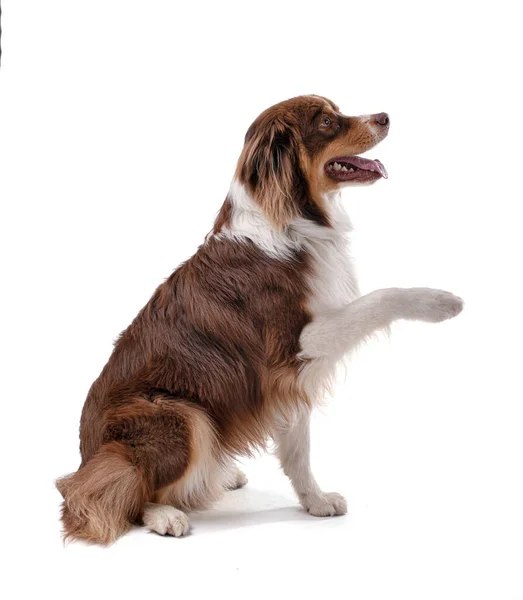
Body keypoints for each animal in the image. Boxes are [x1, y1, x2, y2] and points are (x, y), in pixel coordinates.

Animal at [57, 94, 464, 544]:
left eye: (337, 110)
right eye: (326, 122)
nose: (385, 117)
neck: (294, 221)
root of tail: (86, 455)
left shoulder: (287, 377)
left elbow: (298, 448)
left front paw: (315, 501)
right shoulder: (291, 347)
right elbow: (378, 298)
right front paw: (439, 302)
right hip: (180, 413)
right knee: (112, 489)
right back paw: (165, 513)